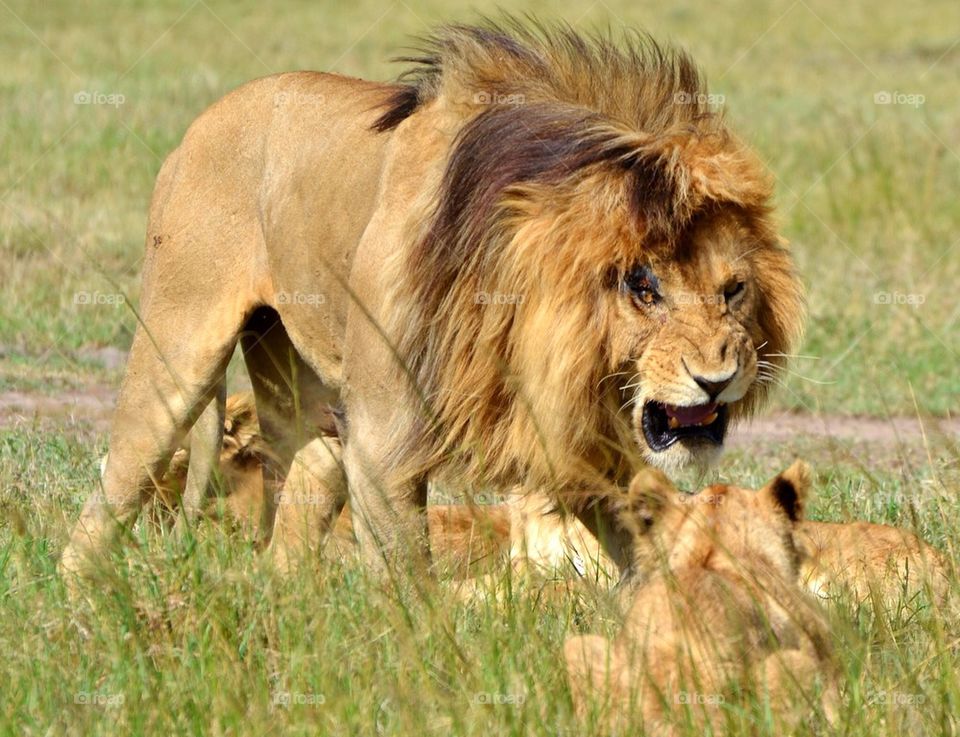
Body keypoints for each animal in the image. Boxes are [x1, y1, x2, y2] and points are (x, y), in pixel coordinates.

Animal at [61, 21, 803, 582]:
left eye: (733, 290)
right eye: (641, 286)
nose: (719, 377)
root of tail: (200, 125)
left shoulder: (575, 433)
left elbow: (645, 555)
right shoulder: (384, 436)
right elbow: (408, 586)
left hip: (312, 401)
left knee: (290, 521)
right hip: (176, 360)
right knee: (106, 504)